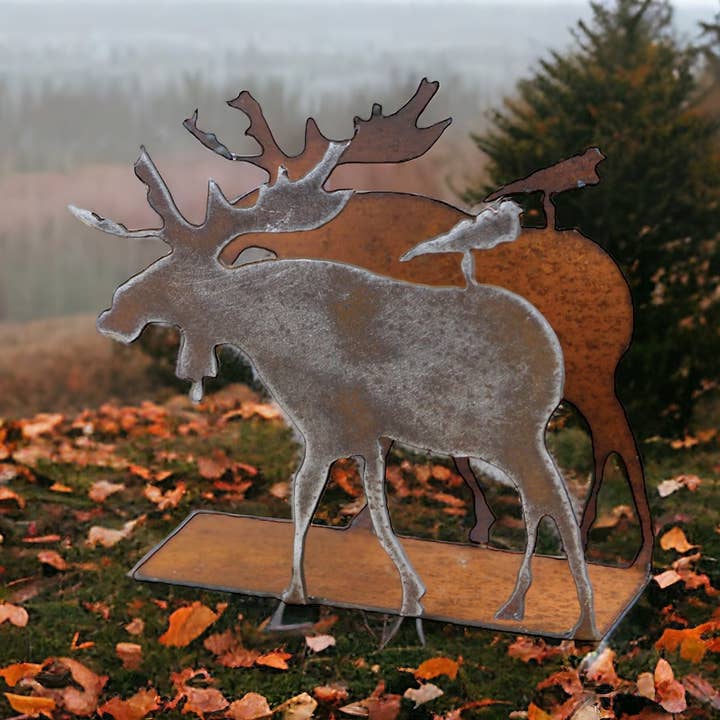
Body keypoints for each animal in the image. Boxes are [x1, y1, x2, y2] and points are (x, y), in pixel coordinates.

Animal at [70, 144, 598, 640]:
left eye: (172, 275)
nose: (113, 311)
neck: (259, 335)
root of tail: (551, 356)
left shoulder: (324, 427)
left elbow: (306, 496)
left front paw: (297, 594)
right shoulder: (365, 434)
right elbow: (374, 508)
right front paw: (411, 594)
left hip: (511, 434)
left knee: (556, 505)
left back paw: (577, 623)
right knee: (542, 503)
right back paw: (528, 607)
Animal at [182, 79, 653, 568]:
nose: (230, 239)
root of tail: (620, 286)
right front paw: (475, 524)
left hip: (590, 373)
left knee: (619, 442)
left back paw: (629, 553)